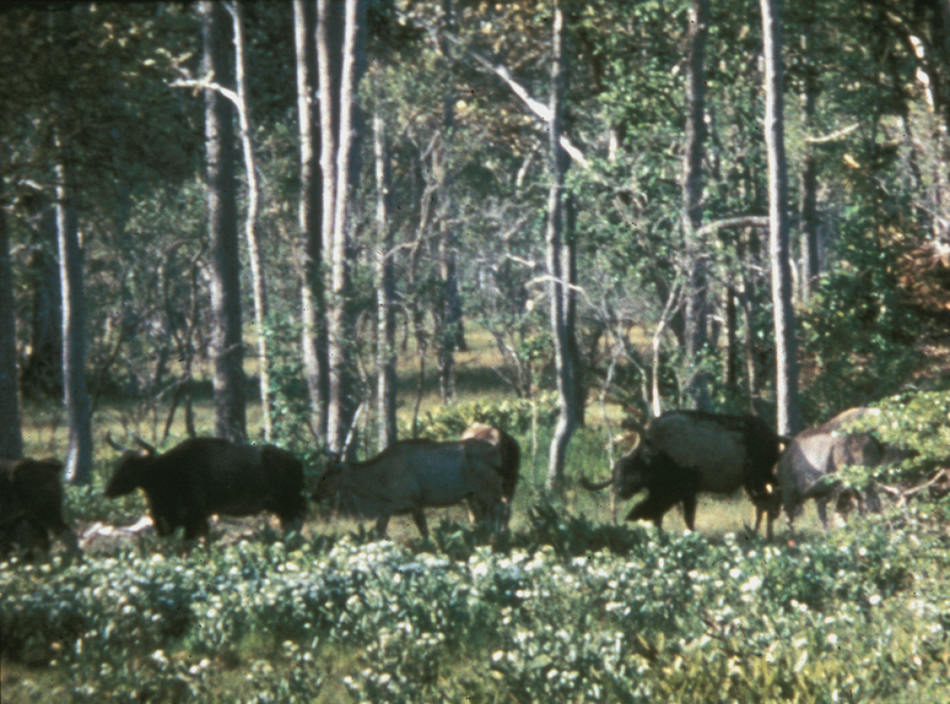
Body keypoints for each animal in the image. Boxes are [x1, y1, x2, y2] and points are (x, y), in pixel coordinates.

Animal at [105, 434, 304, 544]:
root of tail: (296, 461)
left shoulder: (193, 518)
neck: (169, 470)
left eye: (130, 467)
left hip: (290, 506)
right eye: (118, 463)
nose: (107, 491)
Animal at [584, 410, 784, 536]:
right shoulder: (667, 494)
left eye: (630, 469)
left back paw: (761, 533)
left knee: (768, 504)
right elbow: (657, 517)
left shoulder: (686, 491)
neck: (658, 455)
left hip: (758, 479)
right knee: (767, 504)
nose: (619, 490)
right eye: (615, 474)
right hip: (754, 482)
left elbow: (687, 519)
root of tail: (774, 437)